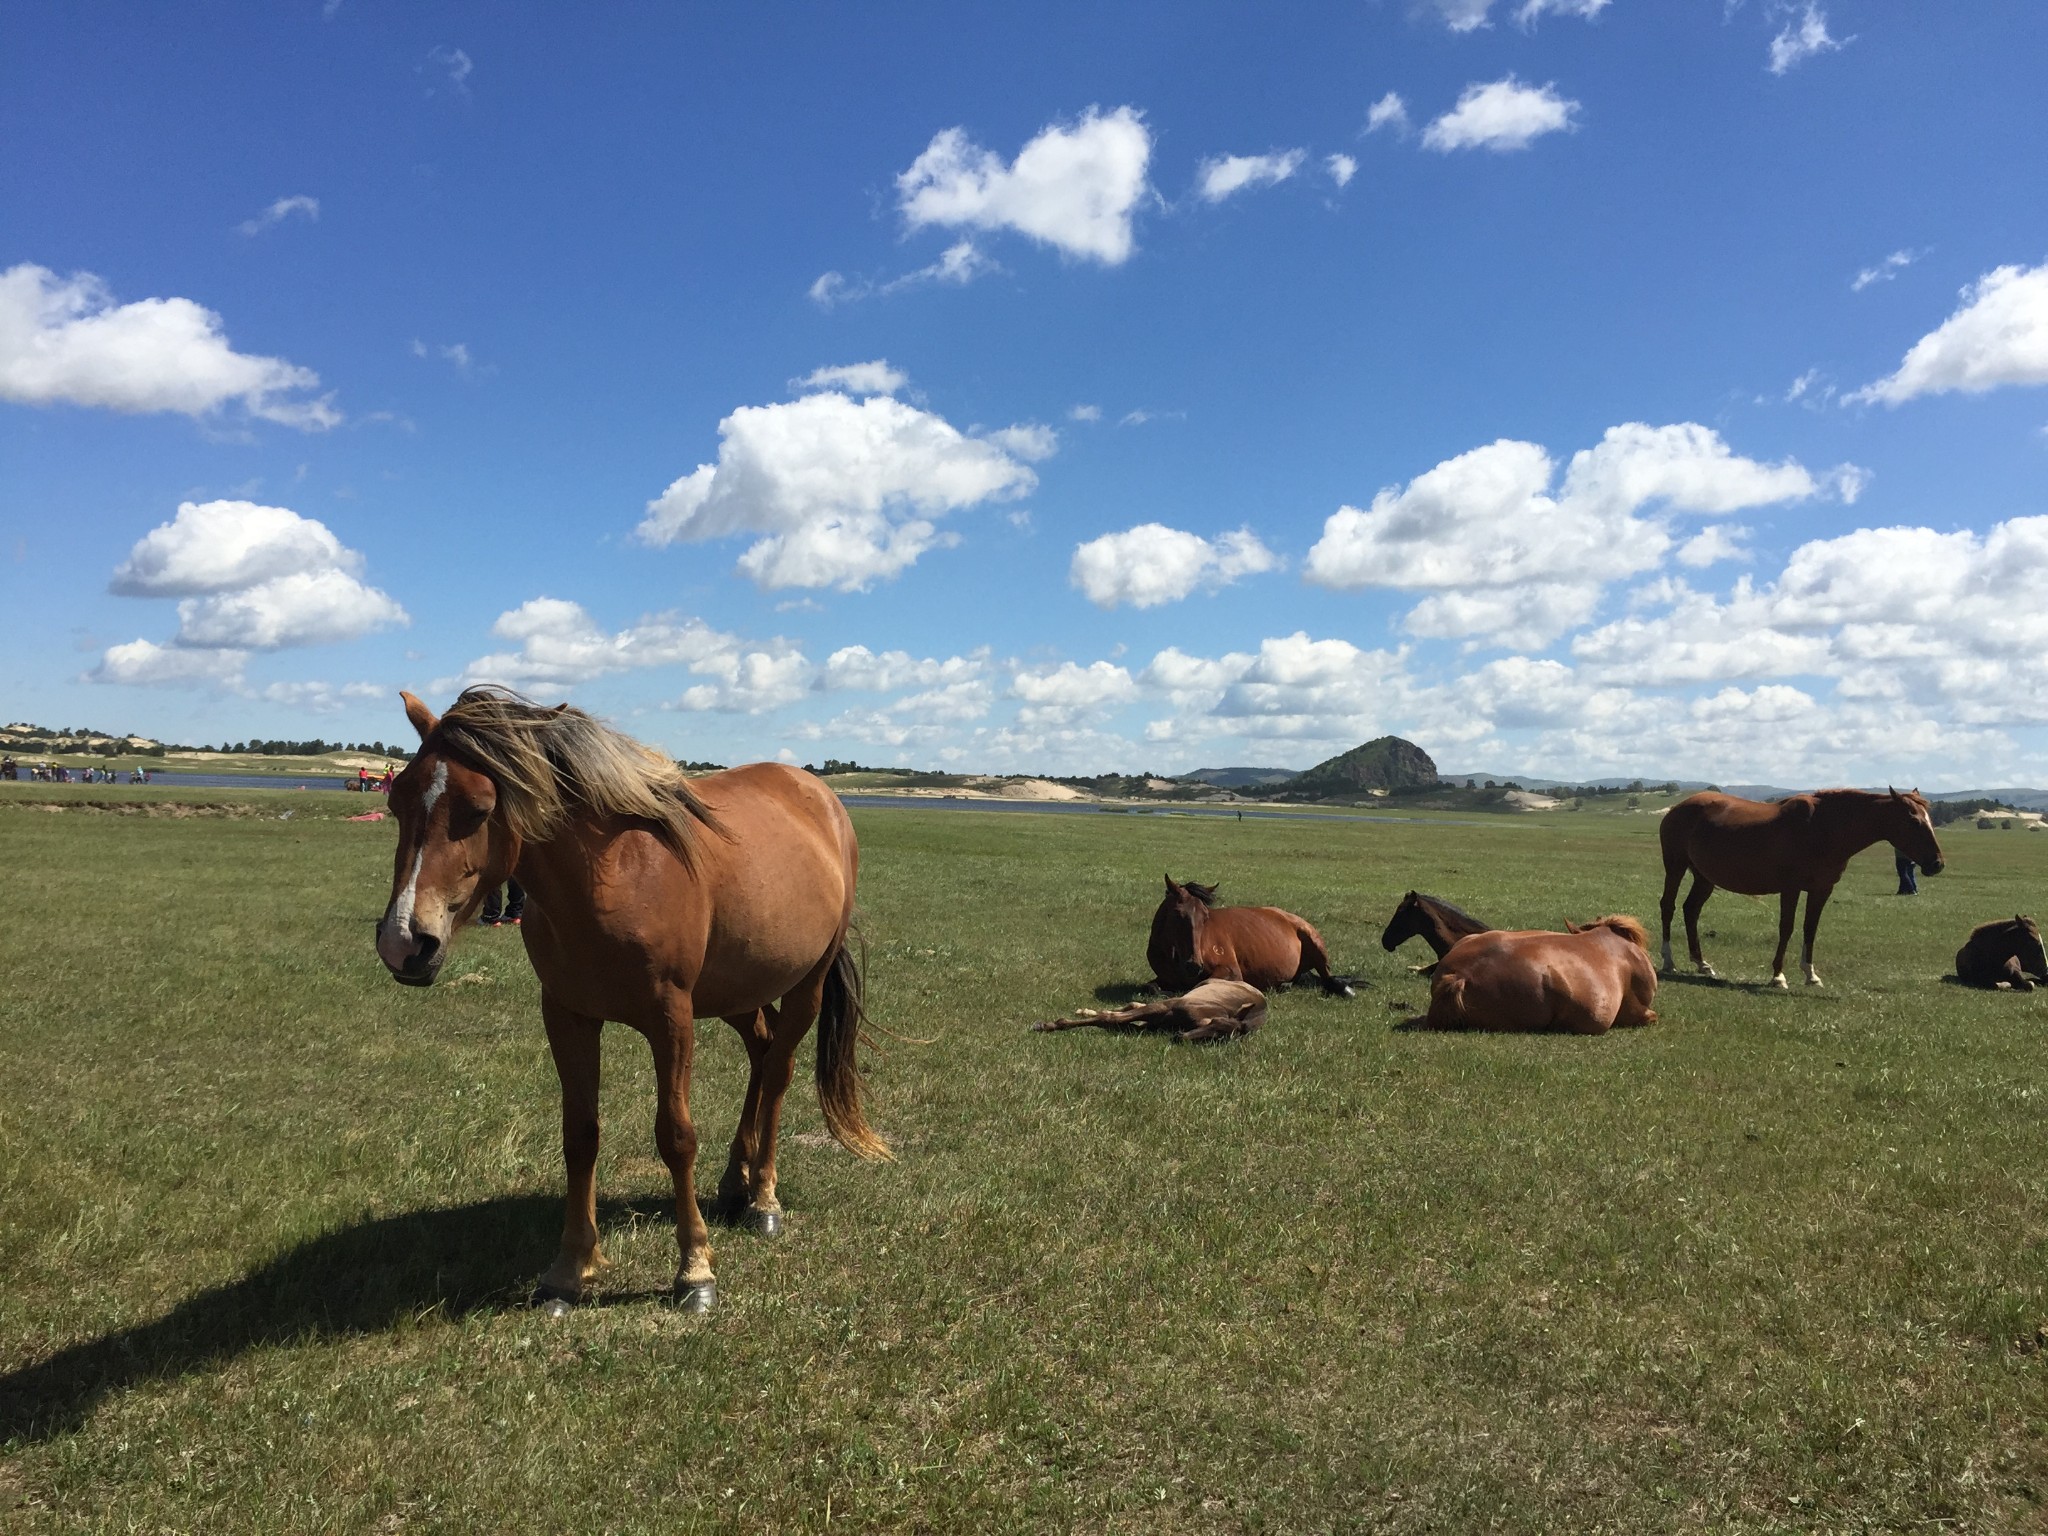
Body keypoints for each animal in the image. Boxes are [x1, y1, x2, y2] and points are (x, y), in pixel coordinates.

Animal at [372, 692, 884, 1318]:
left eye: (479, 806)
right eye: (396, 800)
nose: (404, 942)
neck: (614, 875)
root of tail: (820, 796)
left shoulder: (671, 1020)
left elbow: (676, 1137)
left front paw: (695, 1271)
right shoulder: (567, 1016)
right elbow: (580, 1136)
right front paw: (569, 1270)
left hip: (804, 984)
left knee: (780, 1072)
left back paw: (763, 1197)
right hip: (737, 991)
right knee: (762, 1055)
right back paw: (735, 1182)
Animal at [1032, 987, 1269, 1048]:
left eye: (1216, 1038)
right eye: (1213, 1024)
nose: (1179, 1037)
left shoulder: (1149, 1025)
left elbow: (1113, 1020)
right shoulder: (1164, 1006)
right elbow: (1111, 1018)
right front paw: (1048, 1024)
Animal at [1146, 876, 1351, 999]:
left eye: (1205, 917)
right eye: (1177, 915)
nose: (1194, 965)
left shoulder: (1231, 971)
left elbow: (1200, 984)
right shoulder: (1164, 977)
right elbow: (1152, 986)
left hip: (1315, 944)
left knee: (1327, 978)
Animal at [1654, 786, 1941, 991]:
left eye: (1929, 820)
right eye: (1914, 821)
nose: (1937, 864)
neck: (1823, 828)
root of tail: (1677, 808)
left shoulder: (1821, 889)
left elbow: (1809, 929)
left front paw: (1810, 974)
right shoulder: (1790, 888)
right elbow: (1787, 928)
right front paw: (1778, 976)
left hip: (1704, 877)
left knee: (1691, 910)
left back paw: (1701, 963)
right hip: (1676, 867)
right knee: (1668, 906)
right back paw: (1669, 961)